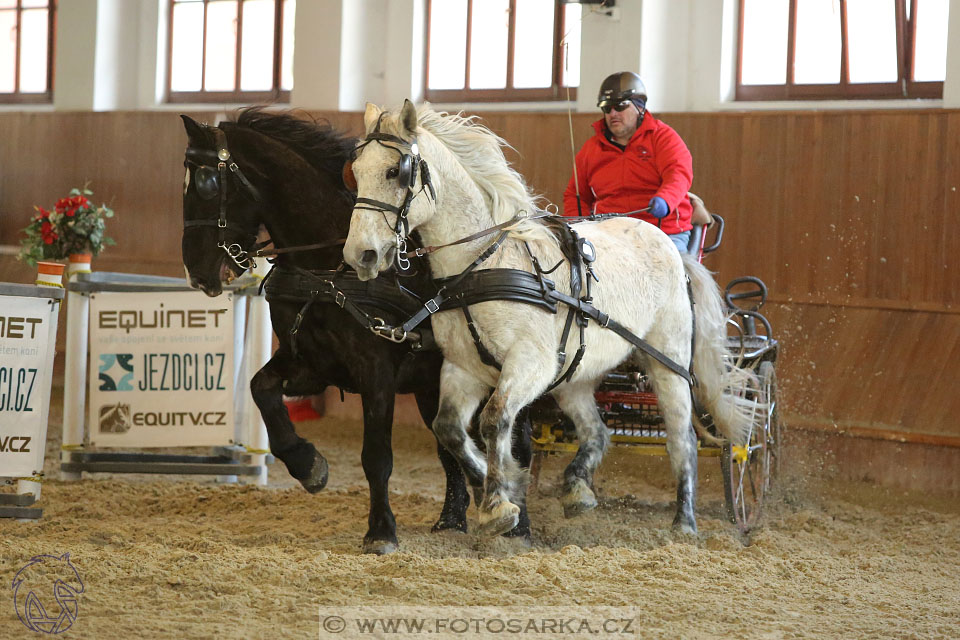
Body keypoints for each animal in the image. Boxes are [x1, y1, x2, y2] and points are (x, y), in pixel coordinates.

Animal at [180, 107, 532, 552]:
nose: (196, 272)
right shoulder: (309, 364)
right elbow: (261, 389)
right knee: (447, 443)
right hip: (431, 385)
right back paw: (451, 518)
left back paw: (518, 523)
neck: (329, 268)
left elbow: (376, 456)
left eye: (206, 183)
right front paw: (307, 464)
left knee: (518, 443)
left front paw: (380, 530)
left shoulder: (375, 372)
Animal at [342, 100, 760, 536]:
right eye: (356, 171)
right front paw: (490, 484)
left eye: (396, 171)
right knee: (597, 431)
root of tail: (669, 246)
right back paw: (577, 489)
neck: (482, 266)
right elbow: (450, 428)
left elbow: (494, 419)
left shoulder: (531, 363)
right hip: (576, 373)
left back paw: (685, 520)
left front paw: (497, 504)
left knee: (682, 439)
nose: (360, 255)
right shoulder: (463, 367)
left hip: (669, 362)